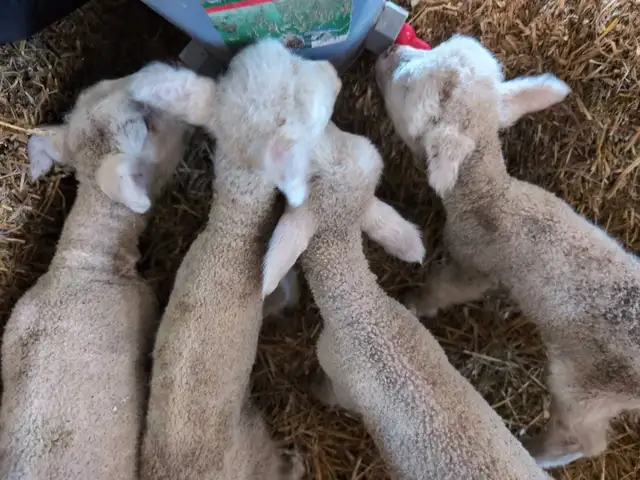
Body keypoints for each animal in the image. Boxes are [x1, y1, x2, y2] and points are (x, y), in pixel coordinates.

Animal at [376, 34, 640, 469]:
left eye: (408, 87)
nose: (386, 53)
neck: (490, 196)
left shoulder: (473, 264)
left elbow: (444, 289)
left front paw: (415, 302)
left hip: (586, 389)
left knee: (583, 441)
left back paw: (536, 455)